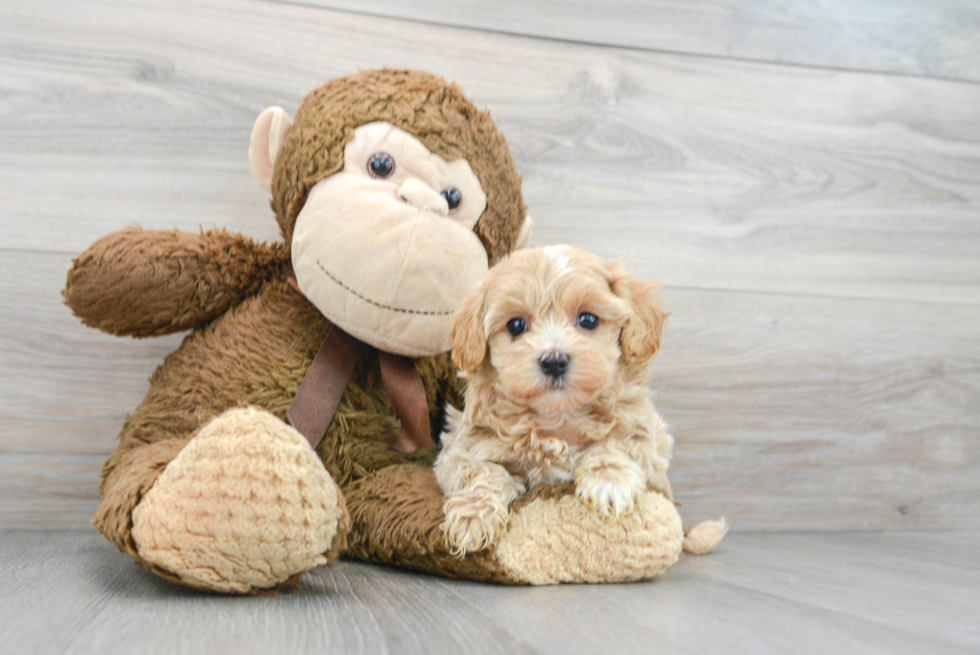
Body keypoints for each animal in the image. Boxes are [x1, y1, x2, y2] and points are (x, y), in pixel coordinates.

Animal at [436, 245, 680, 552]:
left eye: (588, 319)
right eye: (516, 325)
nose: (554, 361)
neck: (558, 414)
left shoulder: (648, 442)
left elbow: (618, 444)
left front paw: (609, 483)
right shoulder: (461, 448)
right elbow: (482, 472)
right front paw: (472, 517)